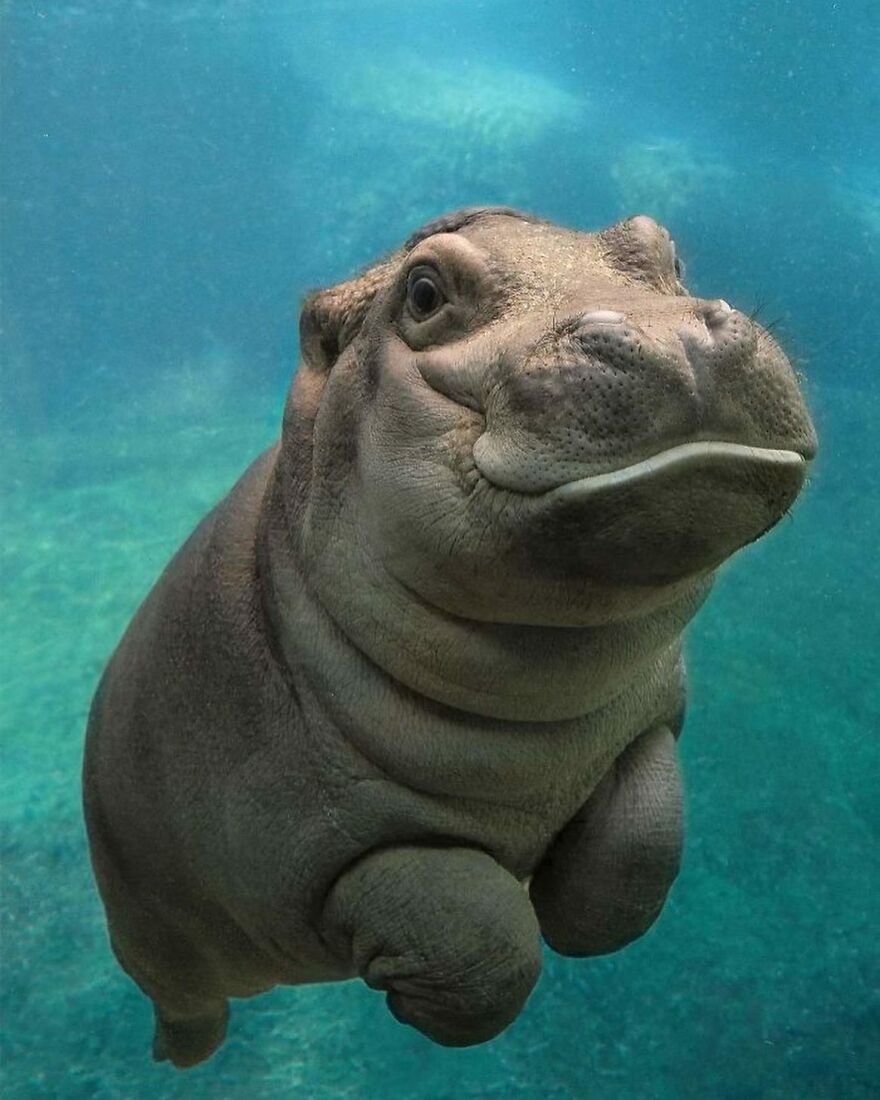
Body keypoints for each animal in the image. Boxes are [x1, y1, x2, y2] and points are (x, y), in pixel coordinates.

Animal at [82, 206, 817, 1068]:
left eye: (666, 251)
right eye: (425, 293)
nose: (675, 335)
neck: (538, 701)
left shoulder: (646, 723)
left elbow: (640, 848)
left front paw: (576, 914)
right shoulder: (311, 846)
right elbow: (481, 942)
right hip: (151, 934)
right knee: (185, 999)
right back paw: (180, 1056)